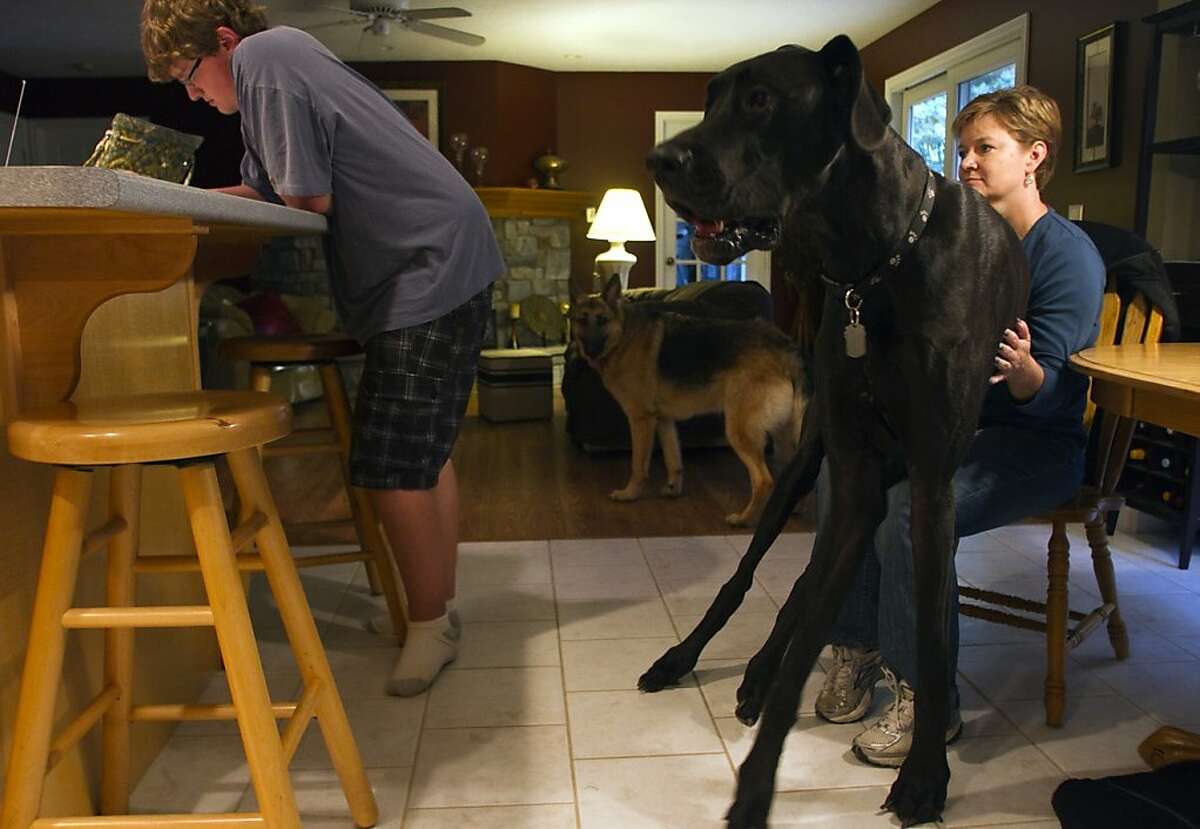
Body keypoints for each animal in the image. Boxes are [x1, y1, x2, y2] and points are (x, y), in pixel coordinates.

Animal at [573, 275, 806, 527]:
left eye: (602, 320)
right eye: (582, 320)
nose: (590, 350)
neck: (624, 335)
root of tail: (784, 347)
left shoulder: (641, 421)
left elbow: (638, 465)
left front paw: (630, 494)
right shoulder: (664, 421)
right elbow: (674, 460)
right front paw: (673, 490)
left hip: (739, 432)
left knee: (764, 481)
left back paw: (744, 518)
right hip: (781, 437)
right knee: (793, 473)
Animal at [638, 34, 1022, 829]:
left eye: (760, 99)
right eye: (710, 99)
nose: (659, 162)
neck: (875, 263)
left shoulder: (928, 485)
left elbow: (930, 632)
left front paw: (924, 775)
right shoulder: (850, 473)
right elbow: (804, 622)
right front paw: (754, 788)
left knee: (806, 585)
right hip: (803, 471)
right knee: (754, 576)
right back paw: (693, 660)